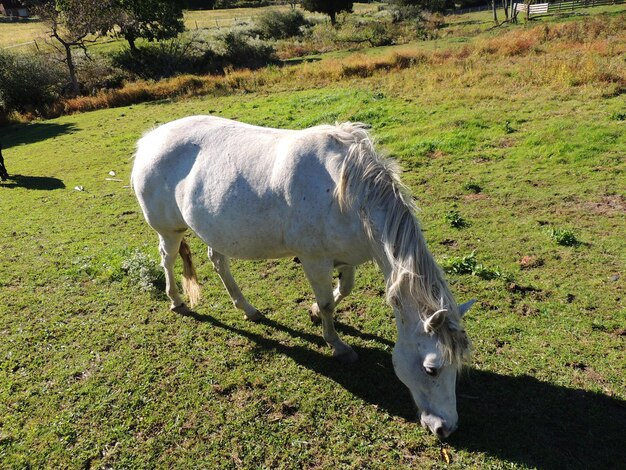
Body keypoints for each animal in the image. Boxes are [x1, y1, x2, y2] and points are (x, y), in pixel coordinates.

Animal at [132, 115, 472, 438]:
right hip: (170, 231)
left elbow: (345, 289)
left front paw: (314, 314)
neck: (345, 193)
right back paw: (176, 301)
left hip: (215, 231)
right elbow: (328, 304)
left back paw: (248, 309)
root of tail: (150, 138)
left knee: (218, 262)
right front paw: (337, 345)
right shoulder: (314, 260)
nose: (447, 428)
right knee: (168, 259)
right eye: (431, 369)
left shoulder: (345, 257)